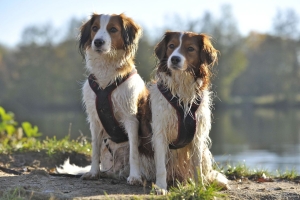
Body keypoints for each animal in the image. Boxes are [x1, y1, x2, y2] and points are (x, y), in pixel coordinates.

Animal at [78, 12, 148, 184]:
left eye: (113, 29)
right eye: (95, 28)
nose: (98, 42)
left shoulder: (131, 118)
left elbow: (134, 152)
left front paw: (135, 177)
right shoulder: (95, 120)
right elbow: (95, 149)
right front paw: (93, 172)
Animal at [148, 31, 230, 192]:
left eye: (190, 48)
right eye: (171, 46)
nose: (174, 58)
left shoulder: (197, 135)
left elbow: (197, 167)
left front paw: (200, 188)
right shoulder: (160, 132)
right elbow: (161, 166)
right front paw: (160, 187)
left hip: (204, 151)